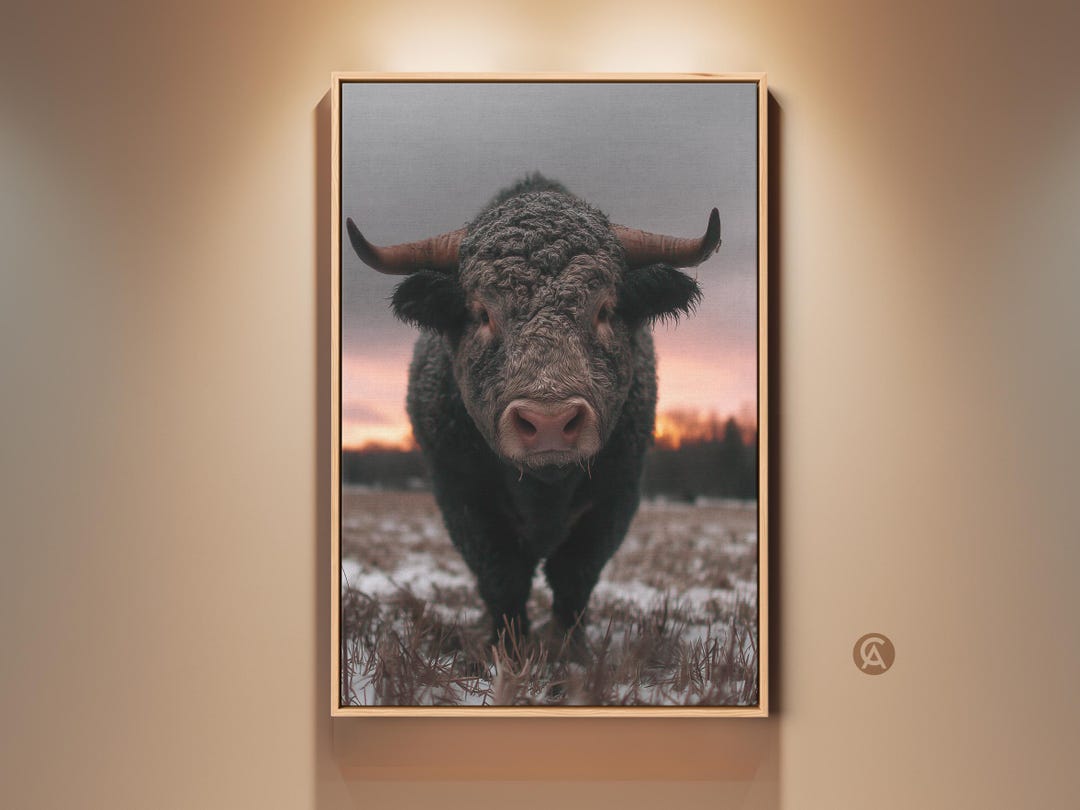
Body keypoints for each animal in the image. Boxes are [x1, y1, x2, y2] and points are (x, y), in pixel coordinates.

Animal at [346, 173, 720, 645]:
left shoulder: (616, 496)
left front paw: (570, 647)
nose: (549, 422)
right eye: (482, 313)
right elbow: (502, 577)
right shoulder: (461, 496)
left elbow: (575, 576)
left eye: (604, 309)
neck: (544, 493)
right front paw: (507, 645)